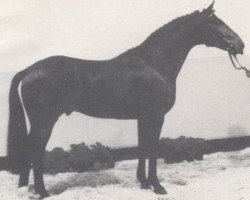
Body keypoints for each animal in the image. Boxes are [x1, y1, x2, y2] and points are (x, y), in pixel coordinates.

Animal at [7, 1, 244, 198]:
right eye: (216, 23)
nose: (240, 45)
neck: (154, 64)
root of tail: (29, 70)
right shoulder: (156, 116)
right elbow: (152, 149)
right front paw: (157, 186)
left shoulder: (143, 118)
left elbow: (142, 147)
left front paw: (144, 183)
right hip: (44, 123)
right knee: (36, 152)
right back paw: (43, 192)